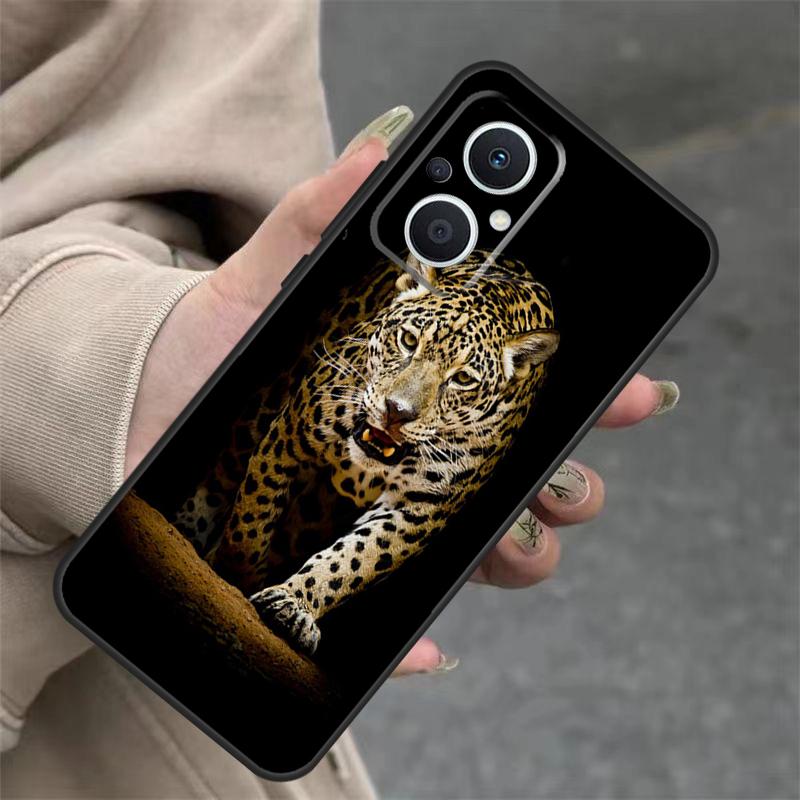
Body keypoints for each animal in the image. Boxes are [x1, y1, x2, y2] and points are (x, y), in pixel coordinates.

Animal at [171, 251, 559, 654]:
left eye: (463, 379)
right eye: (408, 340)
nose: (397, 411)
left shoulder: (418, 510)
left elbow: (354, 561)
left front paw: (294, 605)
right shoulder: (291, 436)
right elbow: (251, 518)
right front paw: (233, 573)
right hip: (264, 407)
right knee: (223, 474)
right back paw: (187, 529)